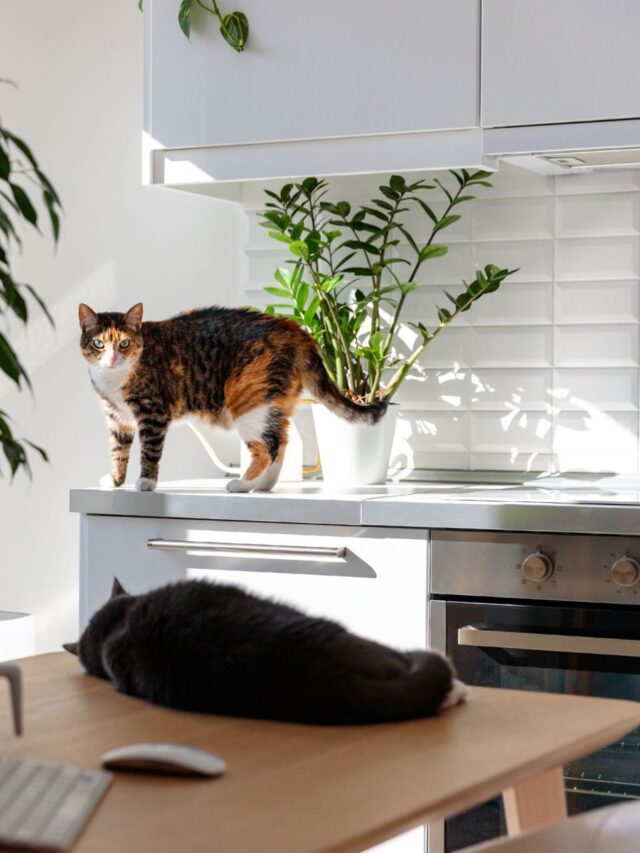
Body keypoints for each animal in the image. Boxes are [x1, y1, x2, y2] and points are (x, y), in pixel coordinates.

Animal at [76, 304, 384, 492]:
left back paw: (242, 485)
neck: (113, 380)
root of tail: (296, 331)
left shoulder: (152, 414)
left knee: (267, 448)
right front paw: (116, 481)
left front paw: (146, 483)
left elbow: (149, 452)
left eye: (124, 343)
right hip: (273, 403)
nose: (112, 358)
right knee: (281, 441)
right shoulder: (118, 419)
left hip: (248, 403)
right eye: (99, 344)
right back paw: (264, 485)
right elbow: (118, 452)